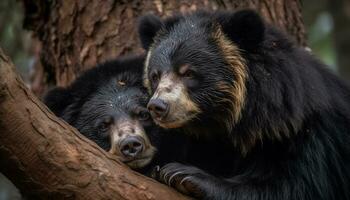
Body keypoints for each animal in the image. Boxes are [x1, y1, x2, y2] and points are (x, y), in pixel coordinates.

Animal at [137, 9, 350, 198]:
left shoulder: (309, 134)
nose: (157, 106)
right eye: (155, 76)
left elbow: (295, 185)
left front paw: (182, 175)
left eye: (188, 73)